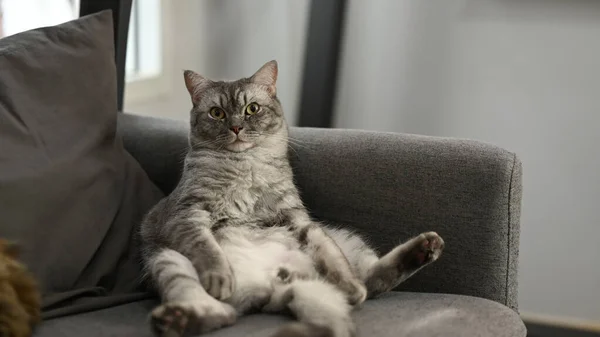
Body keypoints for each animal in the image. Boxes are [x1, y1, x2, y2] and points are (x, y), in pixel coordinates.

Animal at [138, 60, 442, 336]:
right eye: (217, 113)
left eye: (252, 109)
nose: (236, 127)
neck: (246, 166)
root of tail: (278, 285)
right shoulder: (187, 213)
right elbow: (207, 248)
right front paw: (220, 276)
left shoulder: (299, 219)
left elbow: (333, 258)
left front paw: (348, 285)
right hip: (168, 261)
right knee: (220, 312)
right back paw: (176, 319)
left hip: (347, 239)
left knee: (370, 279)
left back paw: (423, 248)